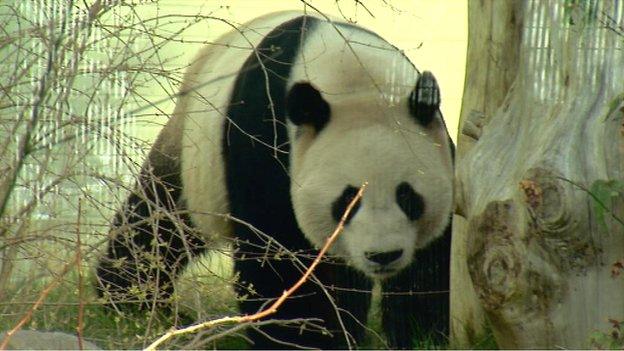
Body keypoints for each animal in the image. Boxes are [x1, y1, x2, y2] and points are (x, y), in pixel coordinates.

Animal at [96, 10, 454, 350]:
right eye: (347, 200)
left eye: (408, 196)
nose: (383, 256)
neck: (355, 82)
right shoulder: (264, 134)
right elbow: (276, 253)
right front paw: (299, 337)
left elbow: (430, 263)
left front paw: (420, 336)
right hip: (192, 154)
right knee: (159, 222)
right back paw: (127, 298)